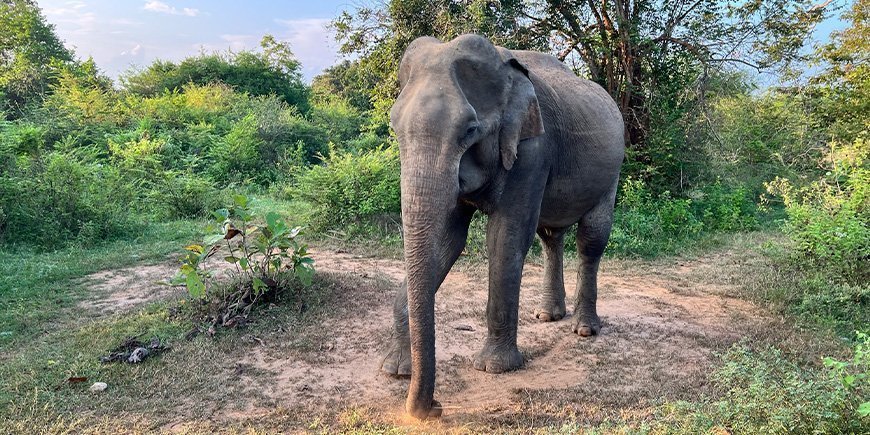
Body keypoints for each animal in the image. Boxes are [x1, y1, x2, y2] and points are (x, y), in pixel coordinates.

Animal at [382, 34, 625, 419]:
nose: (435, 407)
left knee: (591, 239)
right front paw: (394, 369)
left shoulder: (532, 149)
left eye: (470, 130)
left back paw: (584, 330)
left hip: (612, 169)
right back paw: (547, 316)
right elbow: (449, 239)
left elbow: (505, 238)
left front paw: (495, 368)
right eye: (394, 128)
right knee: (550, 236)